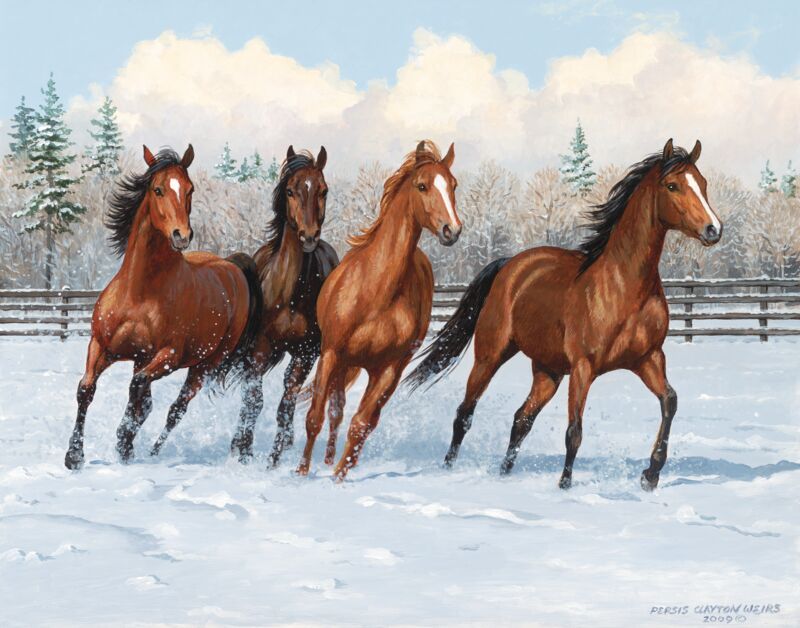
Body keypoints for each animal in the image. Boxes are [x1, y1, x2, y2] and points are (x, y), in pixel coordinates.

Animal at [65, 145, 263, 469]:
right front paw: (74, 456)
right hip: (143, 357)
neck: (139, 293)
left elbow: (136, 389)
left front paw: (123, 443)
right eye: (157, 189)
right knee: (148, 403)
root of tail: (231, 266)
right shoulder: (102, 346)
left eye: (190, 189)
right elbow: (86, 389)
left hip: (204, 365)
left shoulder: (168, 356)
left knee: (175, 408)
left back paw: (151, 450)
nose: (181, 235)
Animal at [296, 140, 463, 480]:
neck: (377, 292)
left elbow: (361, 424)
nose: (451, 230)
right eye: (422, 185)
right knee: (334, 410)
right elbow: (315, 416)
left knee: (360, 419)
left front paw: (338, 478)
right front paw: (301, 473)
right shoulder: (331, 353)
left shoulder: (389, 369)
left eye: (453, 185)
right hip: (342, 363)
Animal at [405, 139, 722, 491]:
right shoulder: (584, 367)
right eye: (673, 185)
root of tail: (510, 264)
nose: (713, 229)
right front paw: (565, 487)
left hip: (548, 371)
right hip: (491, 356)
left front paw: (650, 474)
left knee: (521, 419)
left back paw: (504, 473)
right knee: (465, 413)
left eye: (703, 183)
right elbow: (574, 430)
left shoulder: (648, 359)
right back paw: (448, 469)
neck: (624, 287)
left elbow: (670, 401)